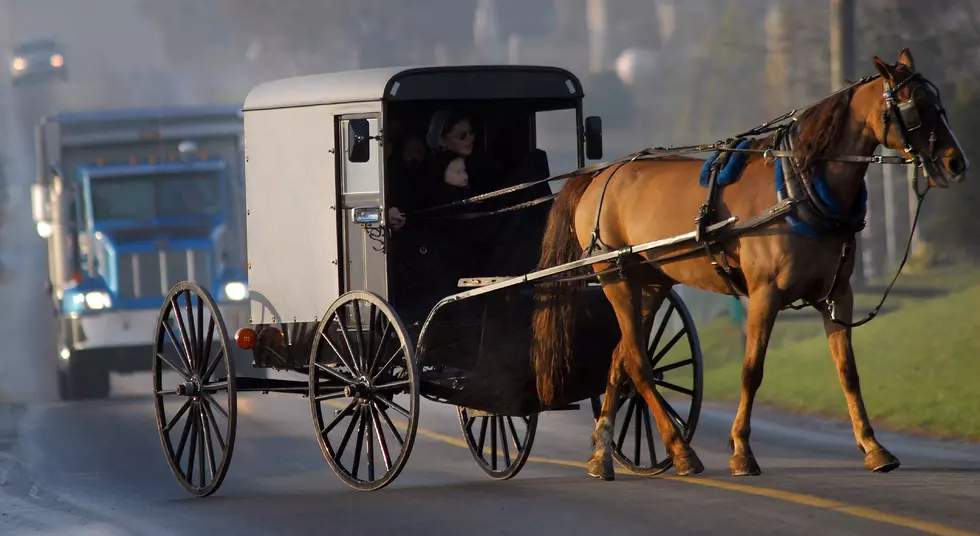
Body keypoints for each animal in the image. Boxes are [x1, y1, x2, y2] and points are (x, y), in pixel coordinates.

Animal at [532, 48, 968, 480]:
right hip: (616, 280)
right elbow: (751, 370)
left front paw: (874, 447)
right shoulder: (765, 293)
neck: (798, 186)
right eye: (914, 107)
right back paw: (680, 451)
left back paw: (603, 454)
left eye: (938, 103)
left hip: (651, 282)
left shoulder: (837, 294)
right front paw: (742, 450)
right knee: (638, 362)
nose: (956, 163)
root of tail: (601, 173)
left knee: (620, 357)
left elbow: (848, 371)